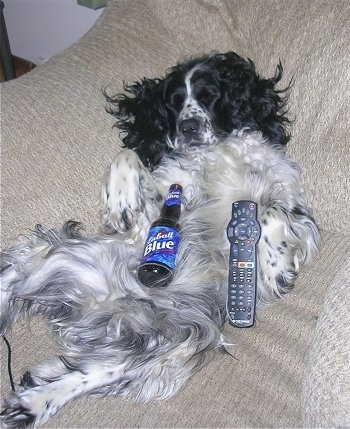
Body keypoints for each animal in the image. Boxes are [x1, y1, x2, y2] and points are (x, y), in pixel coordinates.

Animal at [0, 51, 320, 426]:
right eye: (174, 102)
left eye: (210, 95)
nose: (188, 127)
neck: (214, 155)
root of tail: (99, 307)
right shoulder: (157, 215)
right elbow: (128, 159)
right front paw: (120, 200)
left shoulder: (294, 208)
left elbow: (272, 213)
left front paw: (273, 267)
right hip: (43, 260)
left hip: (176, 339)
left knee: (99, 371)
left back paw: (33, 403)